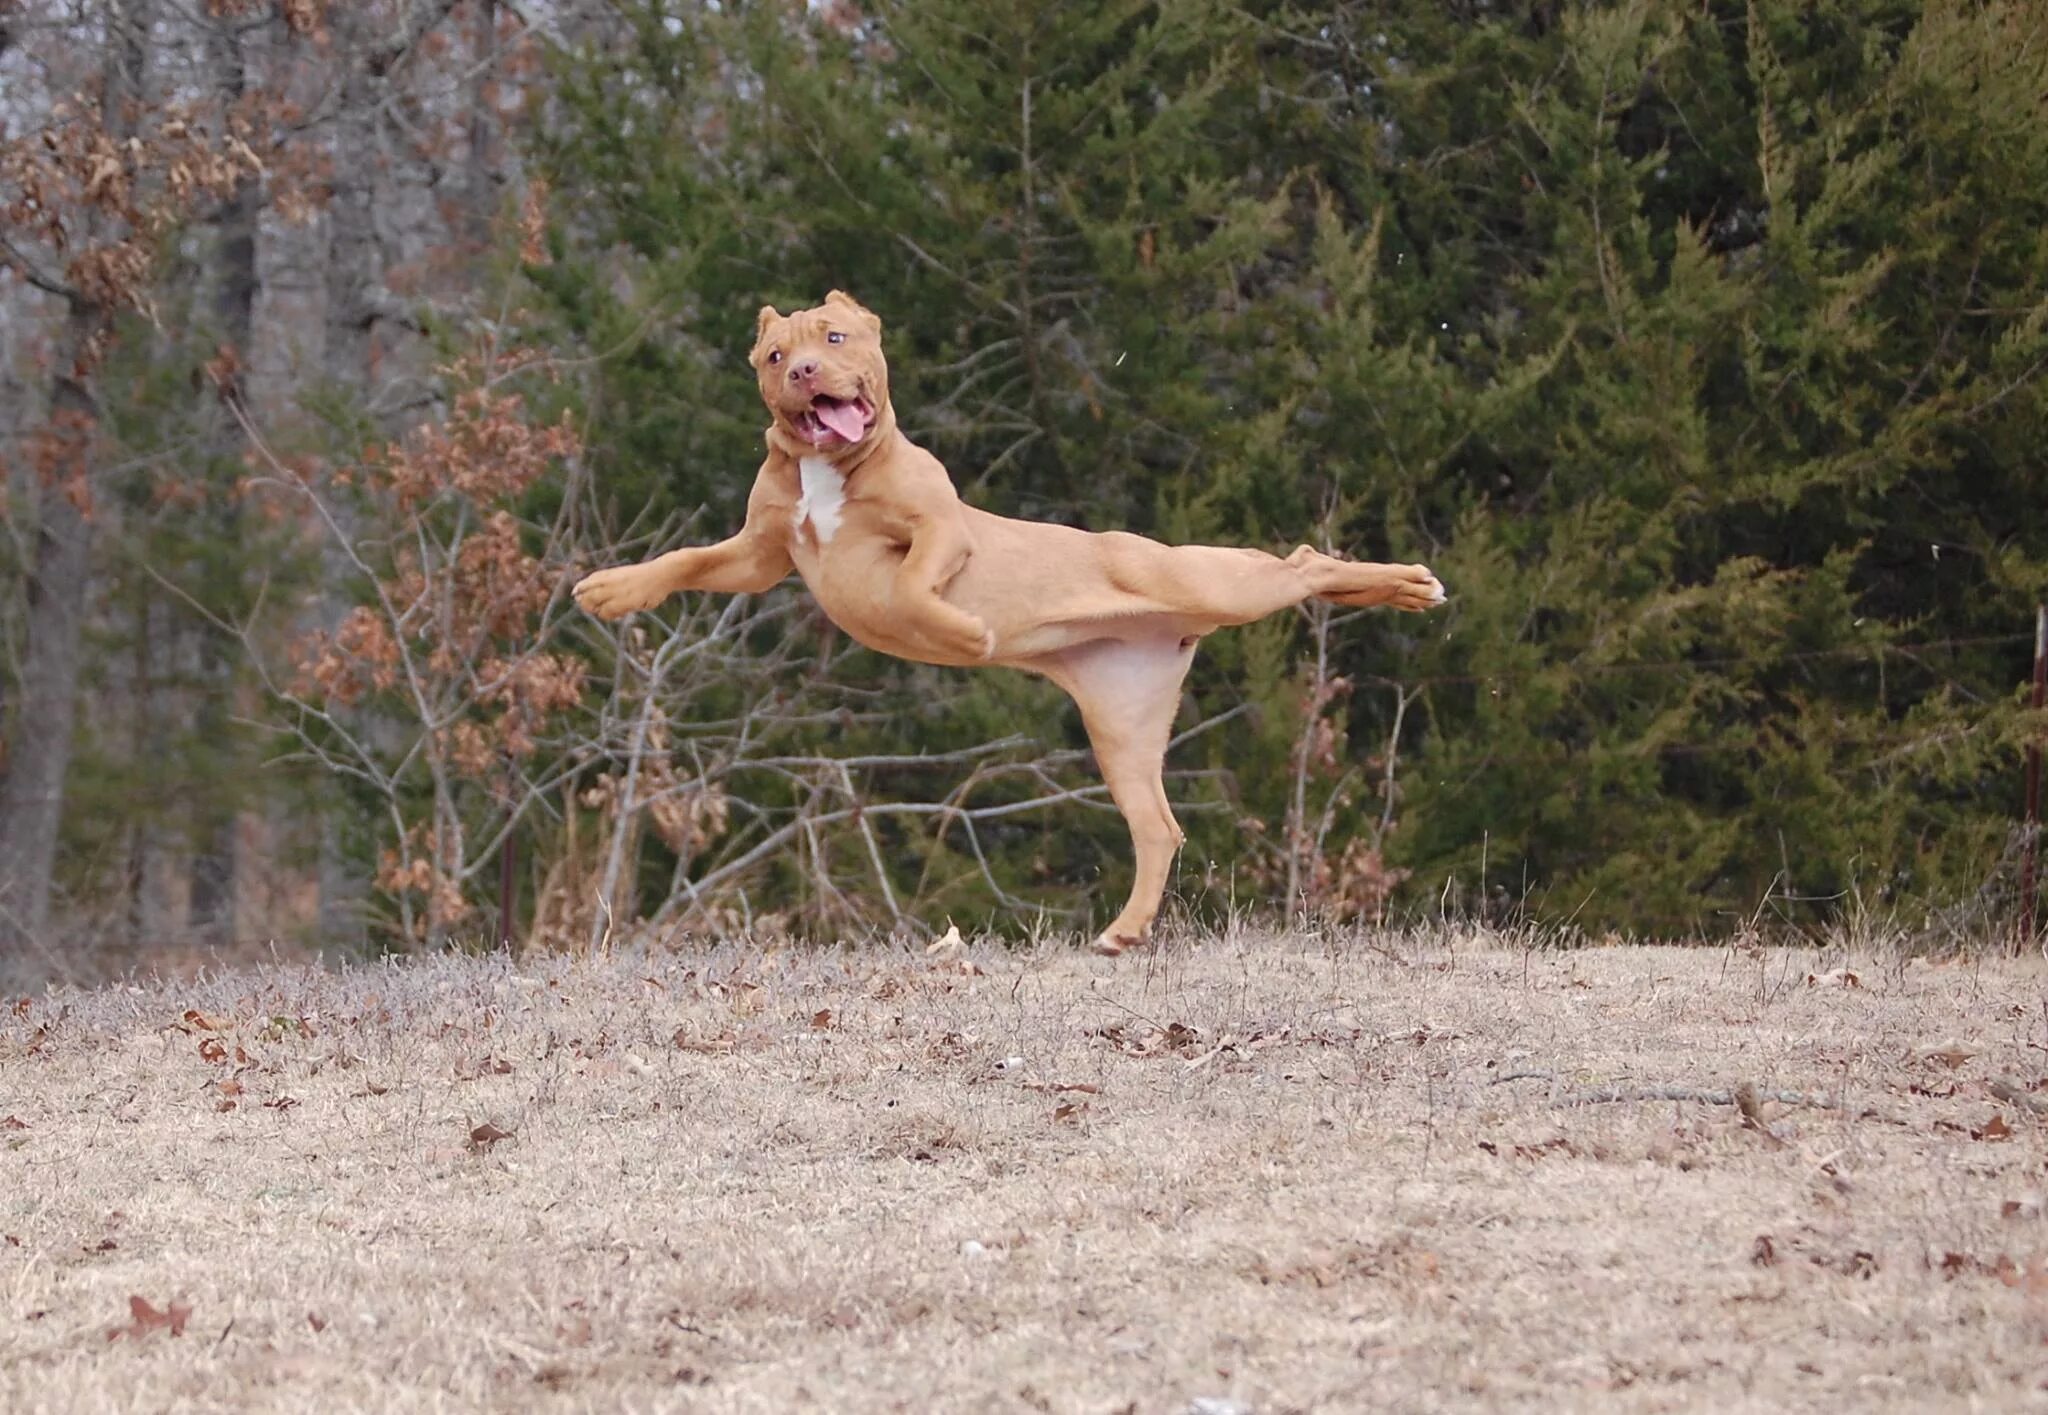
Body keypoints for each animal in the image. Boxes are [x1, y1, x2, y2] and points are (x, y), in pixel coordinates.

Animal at [569, 290, 1449, 950]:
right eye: (776, 357)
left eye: (834, 336)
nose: (810, 369)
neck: (831, 469)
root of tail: (1164, 622)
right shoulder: (759, 551)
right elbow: (685, 560)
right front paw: (614, 589)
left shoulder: (939, 531)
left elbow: (914, 585)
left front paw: (963, 633)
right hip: (1122, 724)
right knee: (1158, 828)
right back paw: (1124, 929)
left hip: (1207, 579)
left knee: (1302, 563)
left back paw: (1407, 584)